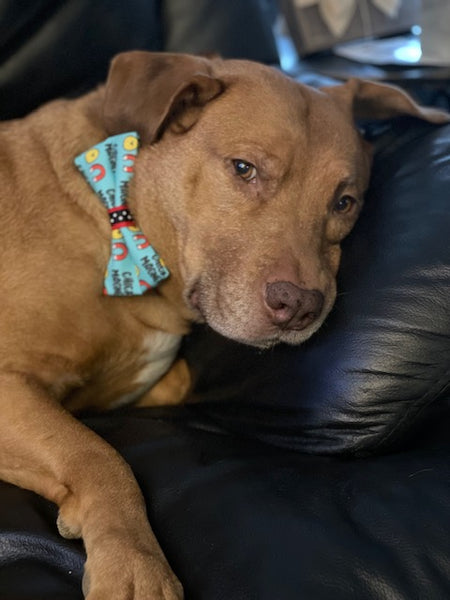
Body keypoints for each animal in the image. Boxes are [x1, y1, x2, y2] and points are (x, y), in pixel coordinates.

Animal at [0, 52, 446, 600]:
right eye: (243, 169)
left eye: (344, 203)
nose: (301, 306)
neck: (121, 220)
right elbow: (99, 454)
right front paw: (135, 563)